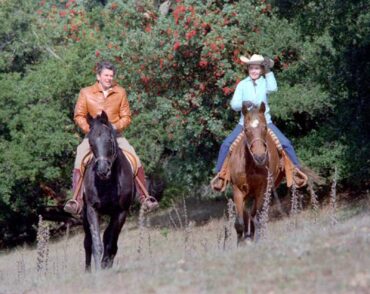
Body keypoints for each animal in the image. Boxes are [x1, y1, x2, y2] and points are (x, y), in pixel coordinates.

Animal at [83, 111, 135, 272]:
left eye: (109, 139)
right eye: (91, 143)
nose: (102, 170)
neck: (107, 183)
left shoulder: (121, 212)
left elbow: (110, 240)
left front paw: (106, 264)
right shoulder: (92, 210)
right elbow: (96, 243)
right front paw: (99, 269)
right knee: (87, 242)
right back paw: (87, 270)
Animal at [230, 101, 282, 243]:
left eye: (265, 128)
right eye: (246, 129)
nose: (260, 157)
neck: (250, 166)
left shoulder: (261, 190)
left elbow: (257, 218)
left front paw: (256, 239)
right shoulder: (237, 190)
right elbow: (239, 223)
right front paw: (240, 242)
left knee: (254, 215)